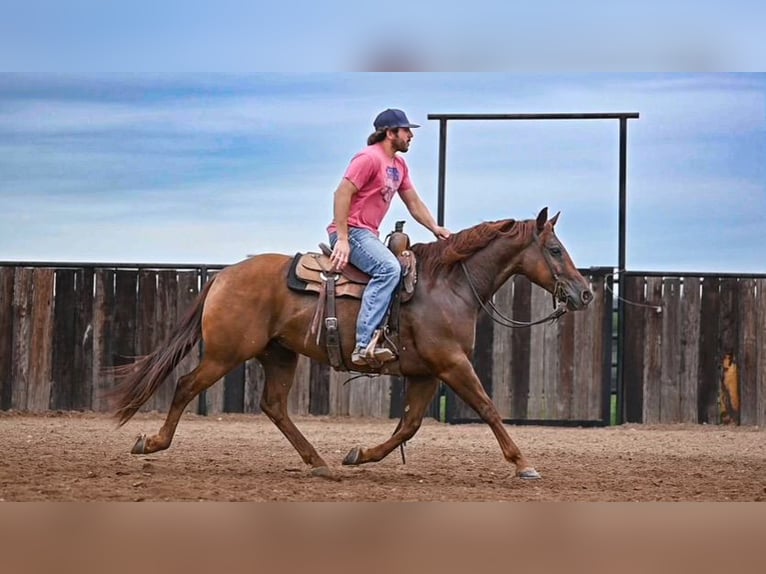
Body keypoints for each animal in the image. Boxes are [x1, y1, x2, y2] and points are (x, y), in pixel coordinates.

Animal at [111, 207, 596, 482]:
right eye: (554, 249)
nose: (584, 292)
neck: (448, 284)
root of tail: (223, 275)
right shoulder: (452, 364)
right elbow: (489, 409)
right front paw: (523, 463)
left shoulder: (426, 372)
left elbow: (409, 425)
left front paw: (359, 455)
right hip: (226, 353)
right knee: (186, 385)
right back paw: (151, 443)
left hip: (279, 354)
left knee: (274, 405)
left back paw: (319, 462)